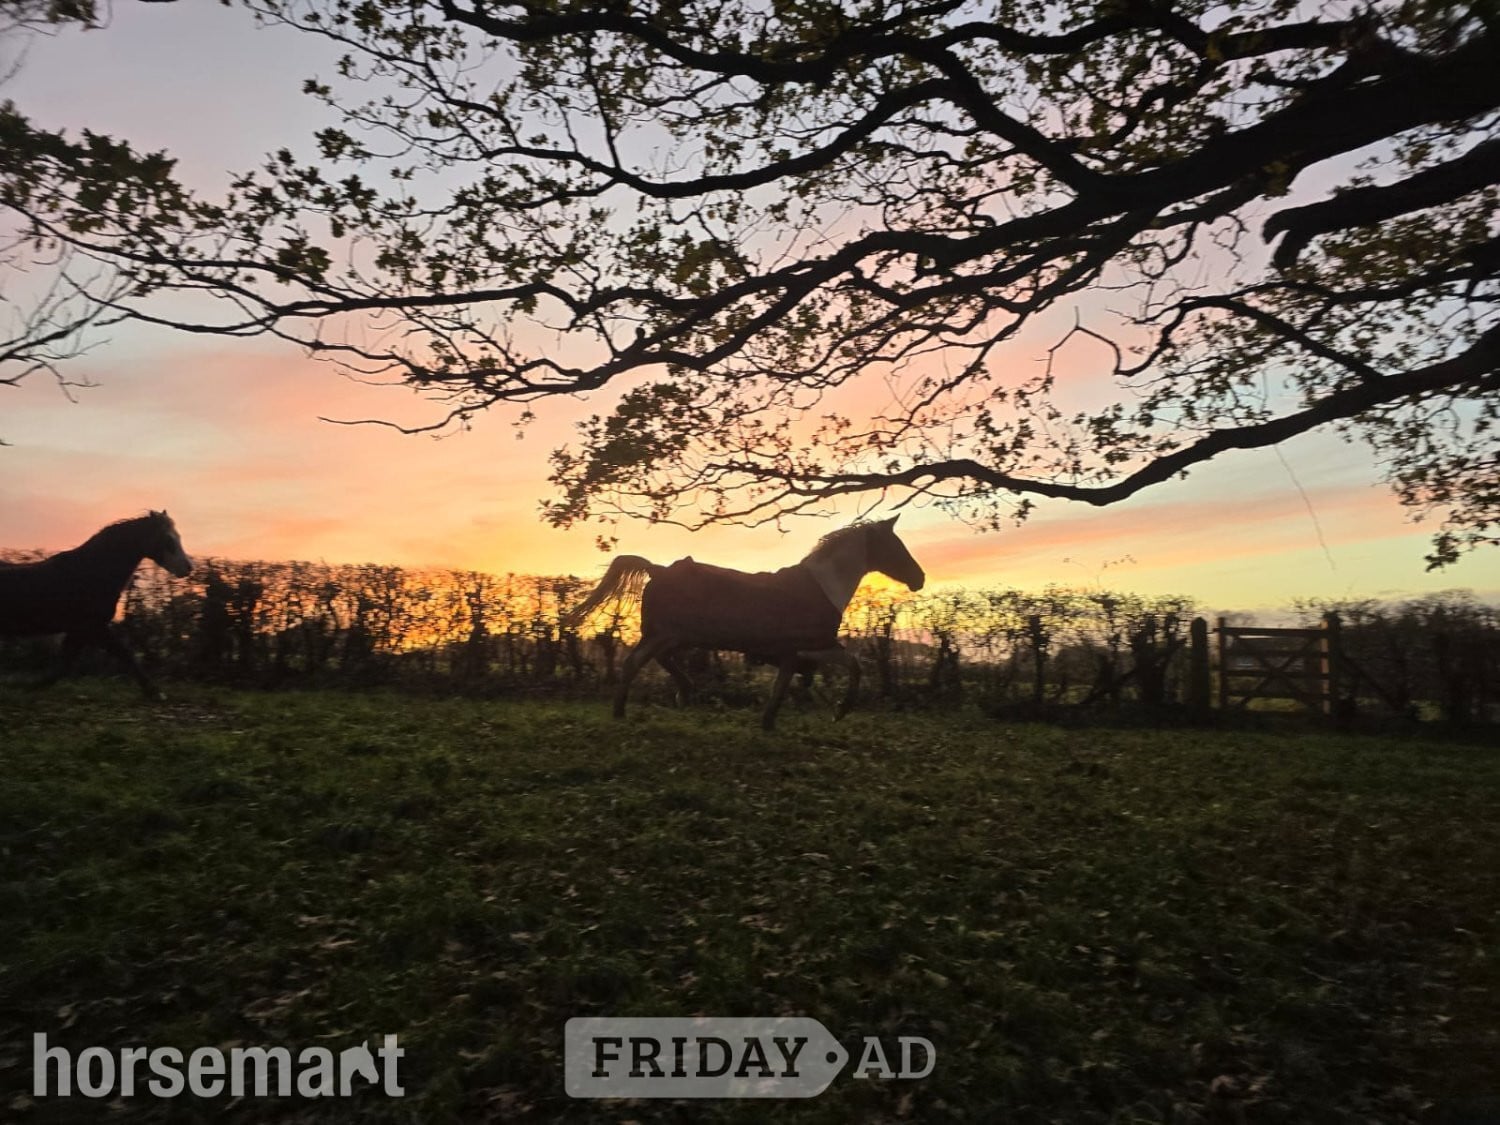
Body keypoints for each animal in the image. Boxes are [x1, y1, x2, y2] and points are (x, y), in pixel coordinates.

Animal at [0, 511, 193, 699]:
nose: (189, 567)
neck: (91, 573)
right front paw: (155, 692)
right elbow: (125, 653)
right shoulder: (93, 628)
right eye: (168, 539)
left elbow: (64, 664)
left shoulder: (80, 631)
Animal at [564, 516, 926, 730]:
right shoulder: (813, 647)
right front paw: (839, 710)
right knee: (634, 662)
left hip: (678, 636)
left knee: (659, 660)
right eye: (895, 546)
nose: (919, 578)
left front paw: (768, 721)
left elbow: (785, 684)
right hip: (663, 634)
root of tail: (658, 569)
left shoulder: (797, 654)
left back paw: (686, 692)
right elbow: (853, 666)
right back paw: (622, 711)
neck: (823, 586)